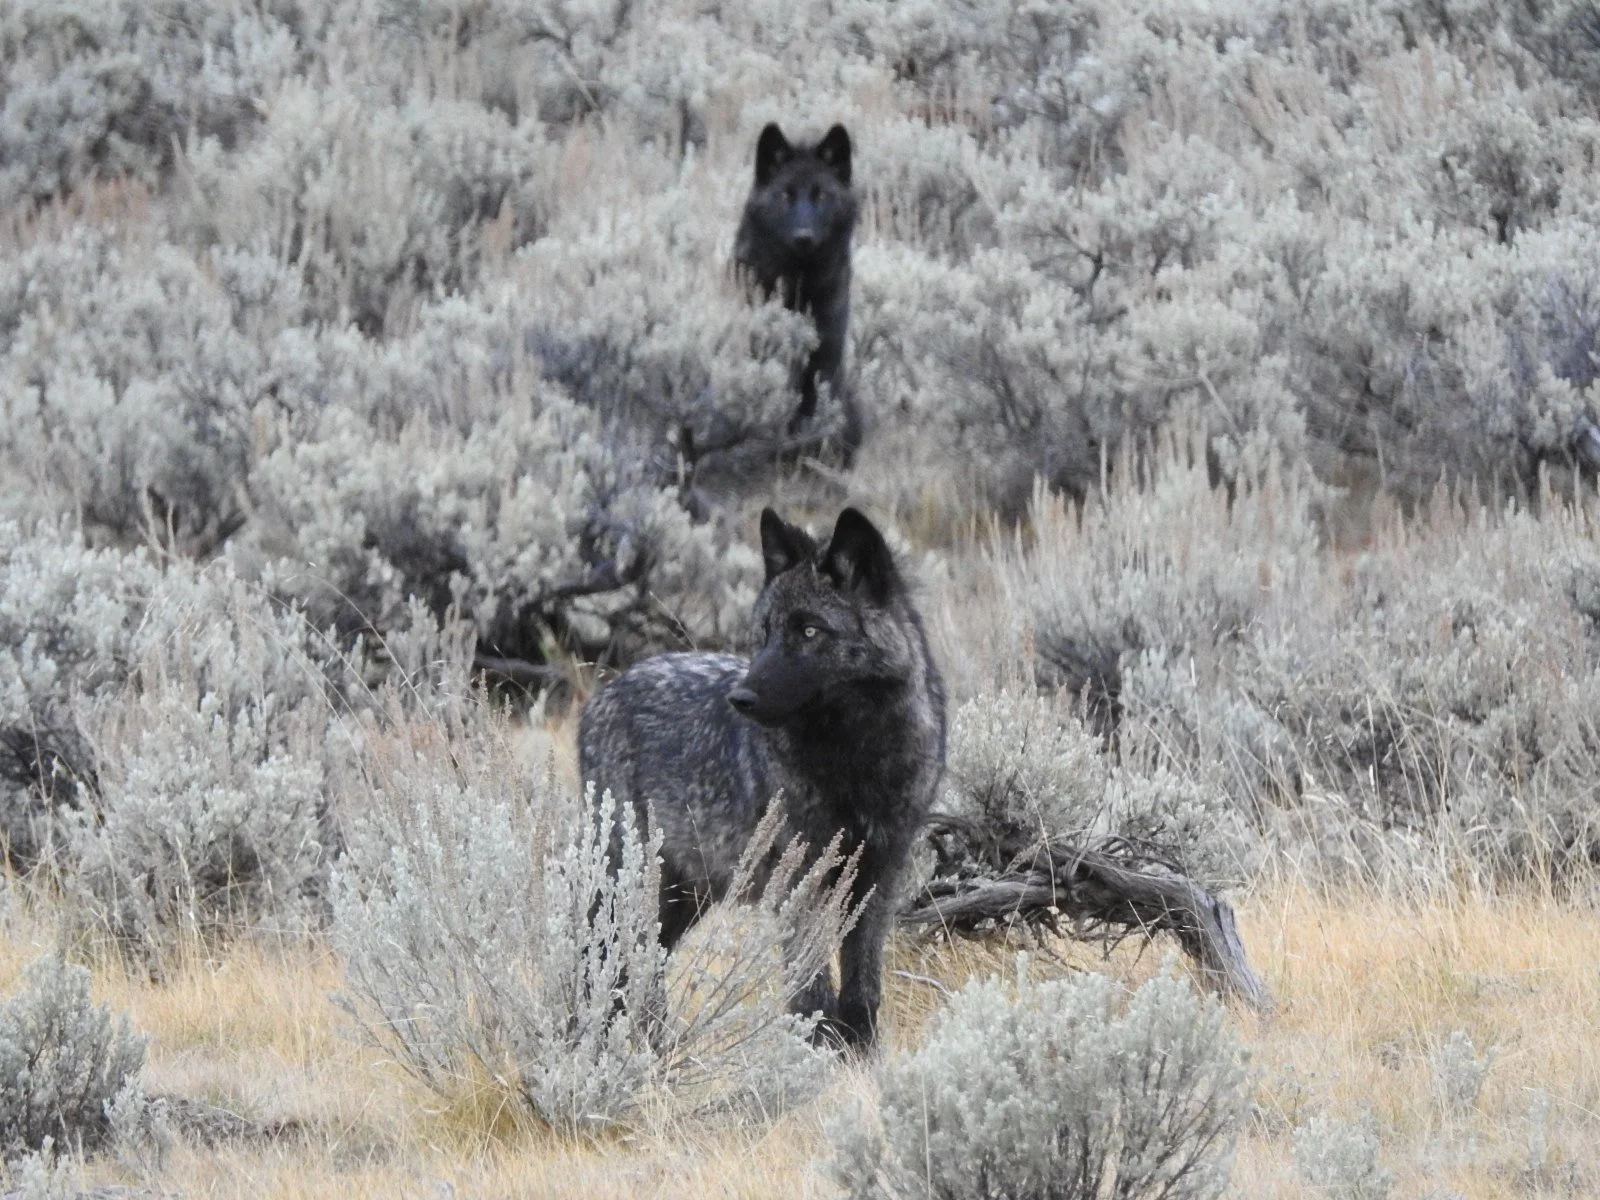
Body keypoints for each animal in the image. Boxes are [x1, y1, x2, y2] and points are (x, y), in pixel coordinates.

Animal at [578, 507, 946, 1049]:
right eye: (765, 632)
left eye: (810, 631)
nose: (740, 698)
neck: (855, 764)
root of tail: (602, 695)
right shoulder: (799, 882)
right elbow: (812, 992)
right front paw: (815, 1056)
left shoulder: (878, 879)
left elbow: (862, 987)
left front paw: (862, 1053)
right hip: (637, 881)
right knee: (602, 956)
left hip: (687, 897)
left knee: (645, 963)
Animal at [734, 123, 862, 461]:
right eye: (785, 194)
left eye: (822, 195)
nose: (804, 237)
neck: (798, 287)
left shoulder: (826, 354)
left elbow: (813, 410)